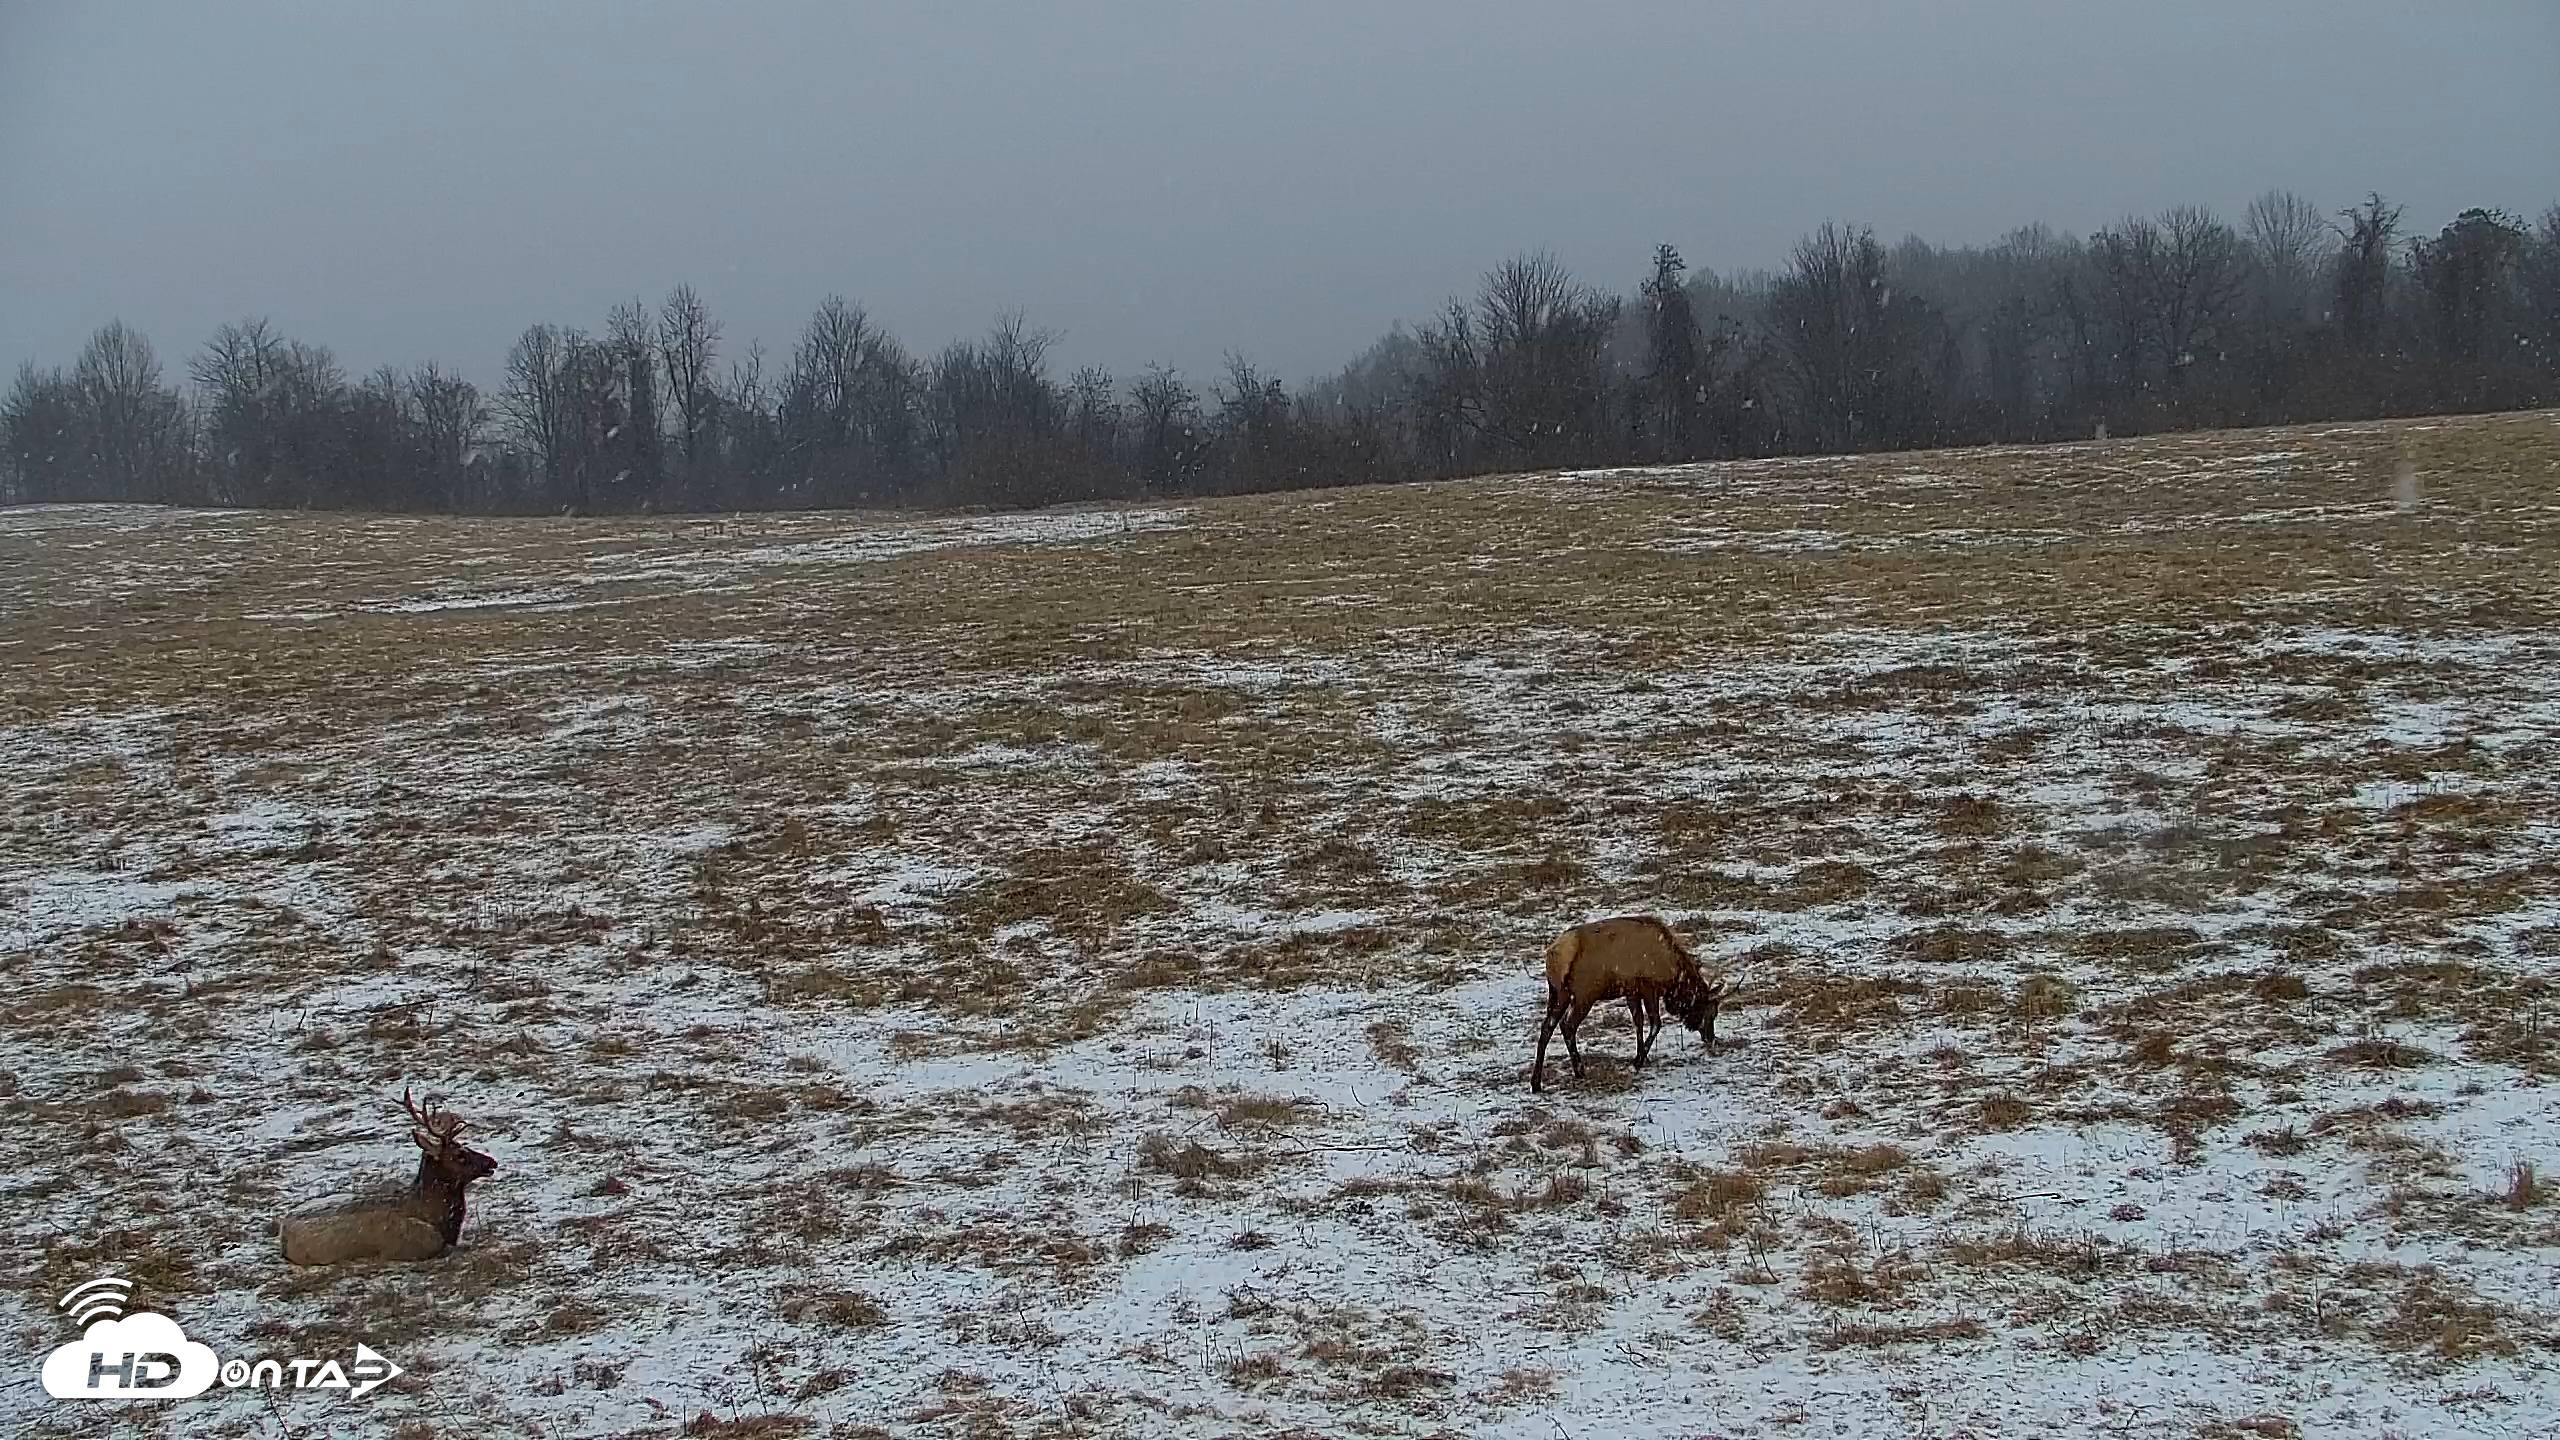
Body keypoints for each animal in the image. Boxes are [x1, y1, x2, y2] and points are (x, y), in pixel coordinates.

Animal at [1532, 915, 1734, 1092]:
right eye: (1710, 1012)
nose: (1711, 1038)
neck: (1673, 976)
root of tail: (1554, 955)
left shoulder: (1631, 991)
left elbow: (1638, 1022)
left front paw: (1641, 1056)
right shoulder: (1649, 987)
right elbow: (1655, 1023)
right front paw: (1638, 1061)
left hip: (1558, 993)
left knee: (1547, 1027)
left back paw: (1536, 1082)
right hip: (1584, 993)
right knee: (1568, 1025)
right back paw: (1579, 1071)